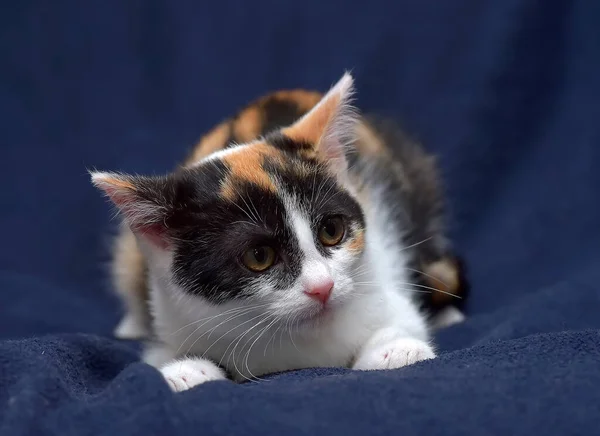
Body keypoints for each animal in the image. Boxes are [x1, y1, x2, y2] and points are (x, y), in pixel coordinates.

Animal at [92, 73, 468, 390]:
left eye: (331, 230)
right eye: (259, 256)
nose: (323, 287)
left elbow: (403, 318)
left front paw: (395, 349)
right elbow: (162, 355)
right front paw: (186, 370)